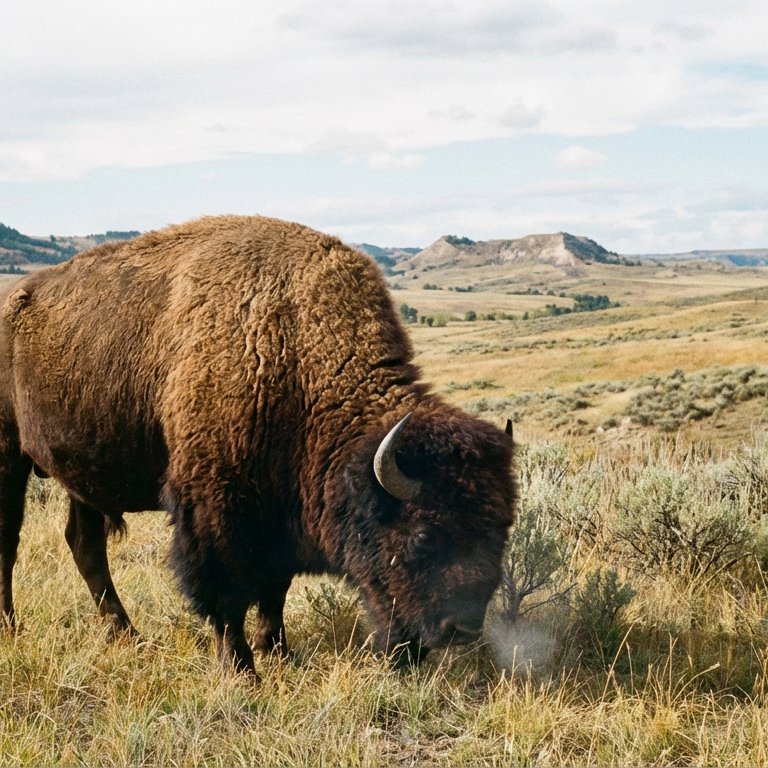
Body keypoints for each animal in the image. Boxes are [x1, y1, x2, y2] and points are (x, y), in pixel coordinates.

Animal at [0, 215, 514, 673]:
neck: (293, 349)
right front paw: (242, 668)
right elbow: (225, 593)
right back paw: (12, 626)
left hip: (79, 475)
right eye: (424, 534)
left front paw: (279, 651)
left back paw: (126, 633)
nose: (461, 630)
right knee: (11, 542)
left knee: (85, 545)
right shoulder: (214, 509)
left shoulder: (280, 509)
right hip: (9, 456)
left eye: (501, 532)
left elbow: (274, 590)